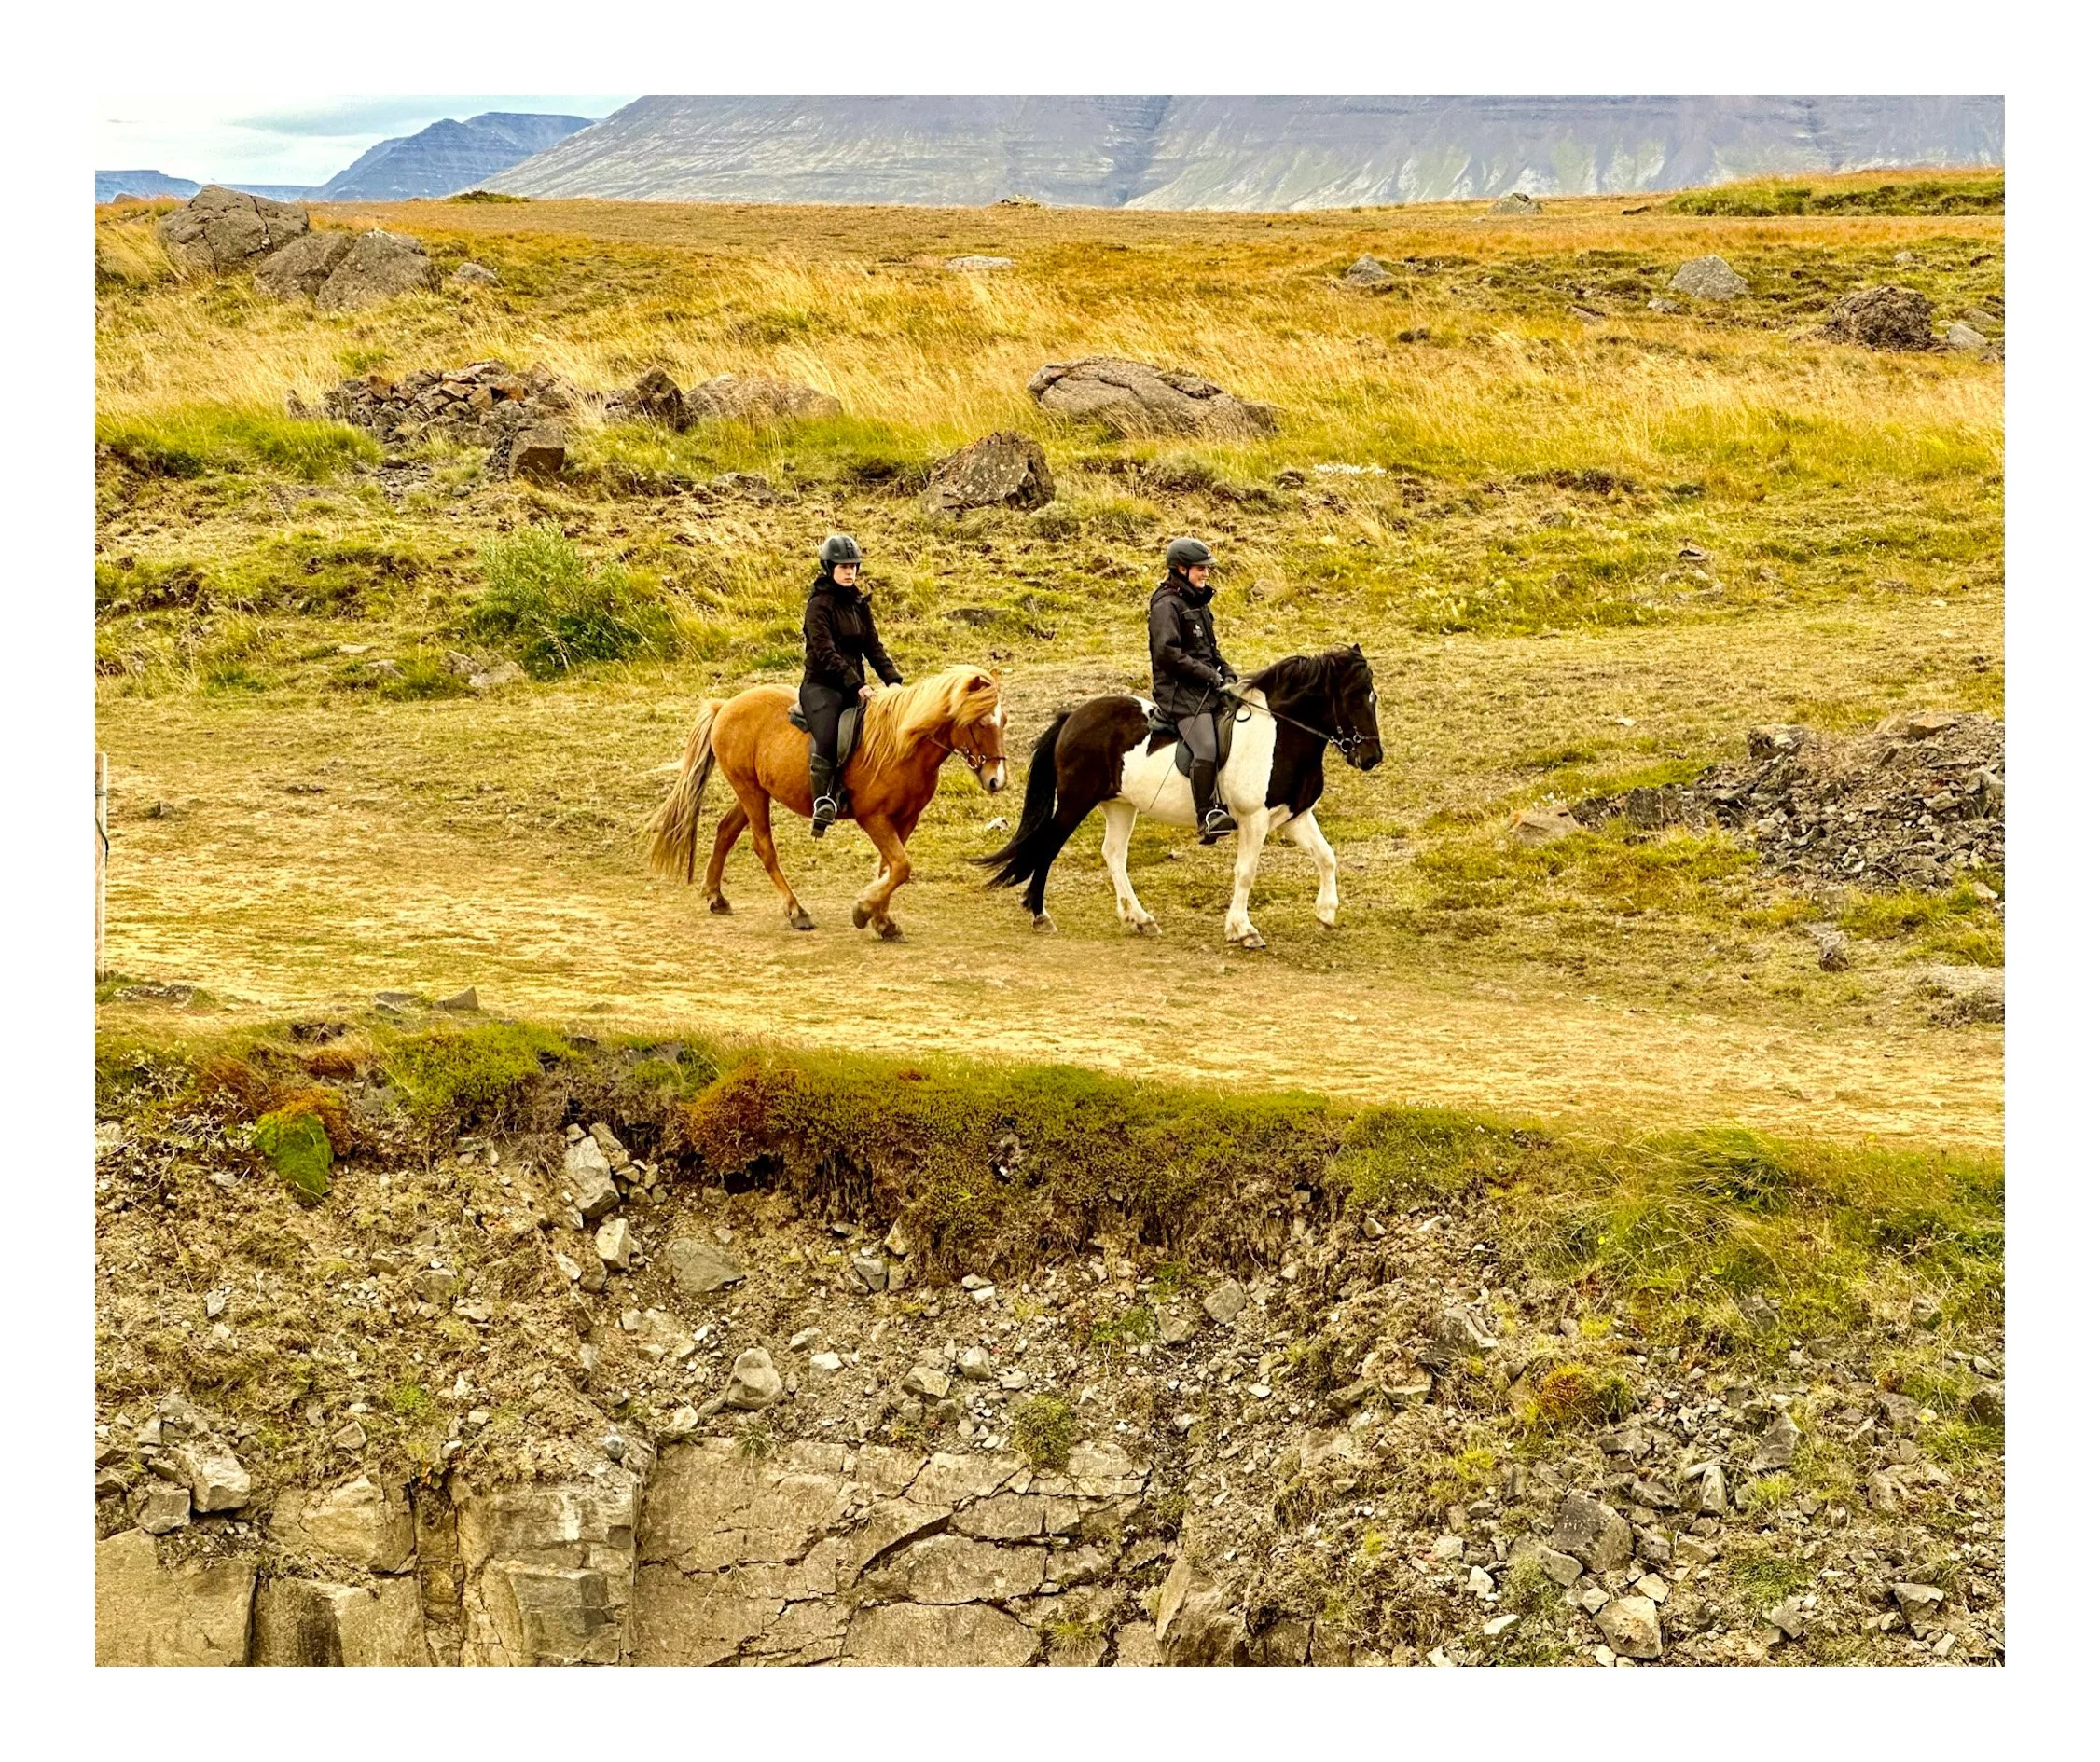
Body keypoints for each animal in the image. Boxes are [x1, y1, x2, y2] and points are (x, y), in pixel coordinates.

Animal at [647, 665, 1008, 939]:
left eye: (1002, 721)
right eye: (980, 722)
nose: (997, 779)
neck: (902, 745)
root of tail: (726, 706)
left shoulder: (906, 819)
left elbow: (890, 867)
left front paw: (881, 920)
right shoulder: (874, 818)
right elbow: (901, 867)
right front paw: (864, 910)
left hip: (754, 791)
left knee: (725, 831)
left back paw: (716, 897)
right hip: (750, 791)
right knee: (764, 847)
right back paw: (796, 911)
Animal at [977, 645, 1383, 949]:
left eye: (1373, 697)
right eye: (1353, 697)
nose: (1371, 758)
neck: (1279, 735)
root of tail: (1073, 716)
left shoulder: (1295, 816)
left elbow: (1327, 857)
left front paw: (1326, 914)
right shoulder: (1253, 819)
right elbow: (1246, 872)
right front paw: (1243, 930)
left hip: (1120, 805)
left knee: (1114, 854)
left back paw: (1139, 918)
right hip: (1076, 800)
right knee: (1048, 845)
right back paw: (1039, 914)